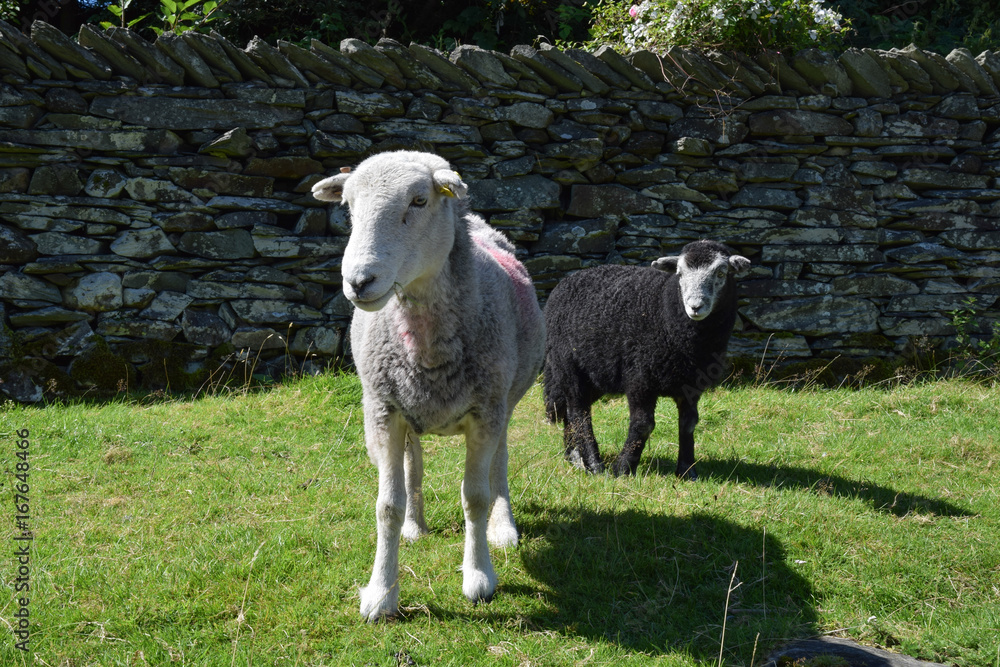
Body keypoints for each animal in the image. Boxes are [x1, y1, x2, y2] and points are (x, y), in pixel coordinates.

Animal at [311, 151, 545, 621]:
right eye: (348, 206)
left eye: (419, 200)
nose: (358, 281)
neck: (426, 343)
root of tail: (476, 221)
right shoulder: (383, 411)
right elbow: (387, 505)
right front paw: (381, 593)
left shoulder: (486, 411)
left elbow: (475, 496)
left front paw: (479, 577)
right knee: (412, 465)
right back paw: (415, 525)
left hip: (506, 400)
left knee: (500, 465)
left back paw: (503, 526)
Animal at [542, 239, 750, 479]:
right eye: (680, 273)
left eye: (721, 273)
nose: (695, 306)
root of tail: (566, 281)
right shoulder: (640, 378)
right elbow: (643, 424)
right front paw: (623, 469)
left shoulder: (691, 384)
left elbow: (688, 423)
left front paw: (687, 471)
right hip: (568, 366)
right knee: (579, 413)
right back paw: (594, 465)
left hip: (595, 373)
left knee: (569, 412)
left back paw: (574, 457)